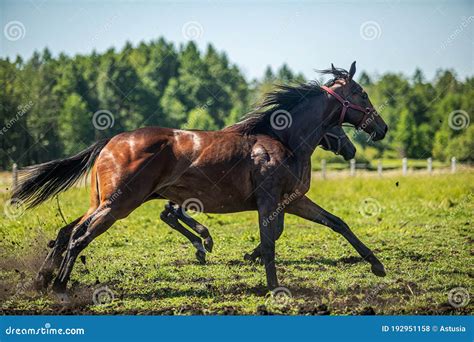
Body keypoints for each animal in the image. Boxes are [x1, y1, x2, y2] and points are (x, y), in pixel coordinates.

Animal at [12, 60, 386, 292]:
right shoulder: (269, 201)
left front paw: (377, 265)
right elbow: (270, 241)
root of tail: (111, 141)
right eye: (362, 94)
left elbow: (336, 222)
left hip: (103, 202)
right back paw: (59, 286)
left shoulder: (292, 200)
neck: (283, 140)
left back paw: (43, 280)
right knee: (79, 236)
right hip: (119, 204)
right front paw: (273, 286)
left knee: (66, 232)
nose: (380, 128)